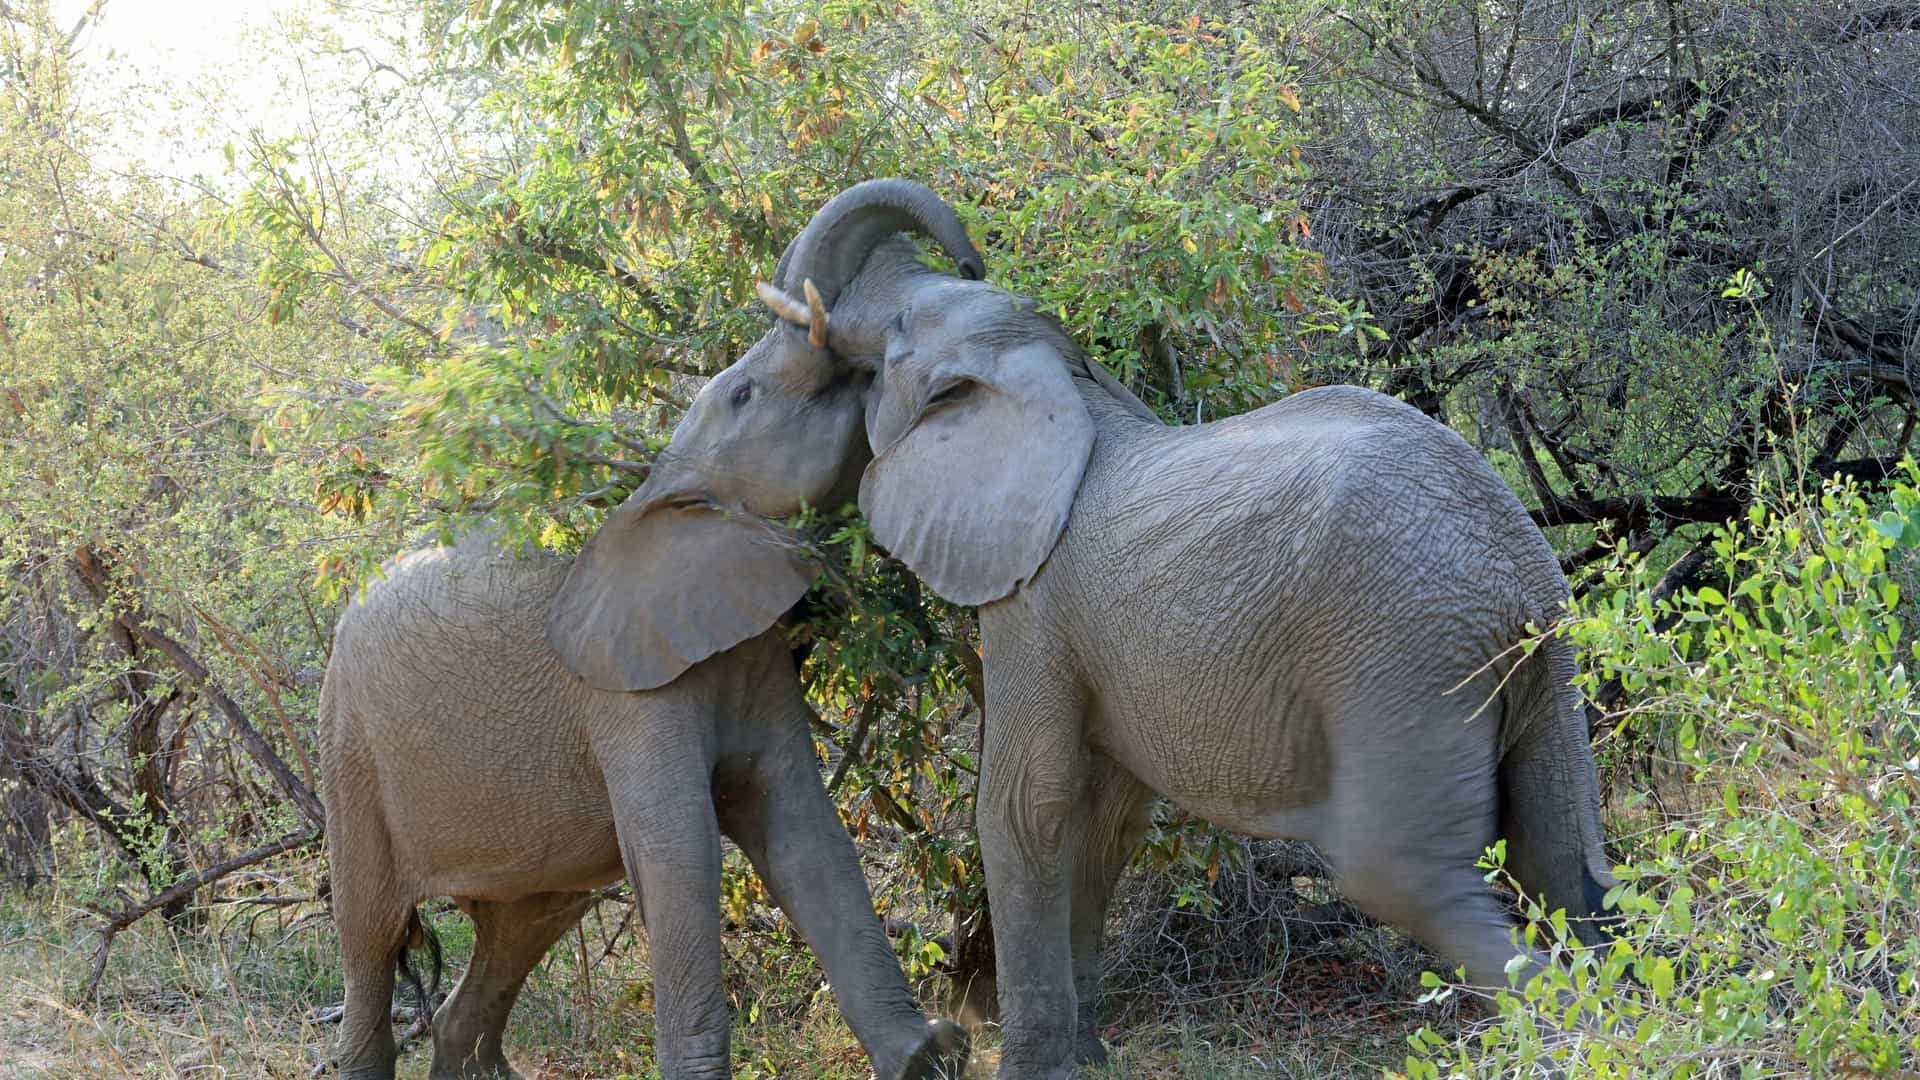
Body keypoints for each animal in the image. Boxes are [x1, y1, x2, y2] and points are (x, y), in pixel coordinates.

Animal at [317, 526, 973, 1080]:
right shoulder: (628, 689)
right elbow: (679, 851)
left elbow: (803, 839)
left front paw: (932, 1057)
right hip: (352, 751)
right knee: (372, 930)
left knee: (526, 923)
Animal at [635, 179, 1619, 1079]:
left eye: (881, 354)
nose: (972, 251)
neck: (1055, 379)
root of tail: (1519, 565)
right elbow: (1105, 819)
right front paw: (1089, 1055)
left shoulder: (1035, 598)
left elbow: (1026, 804)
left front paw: (1032, 1072)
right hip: (1539, 670)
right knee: (1568, 862)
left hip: (1406, 659)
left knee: (1404, 875)